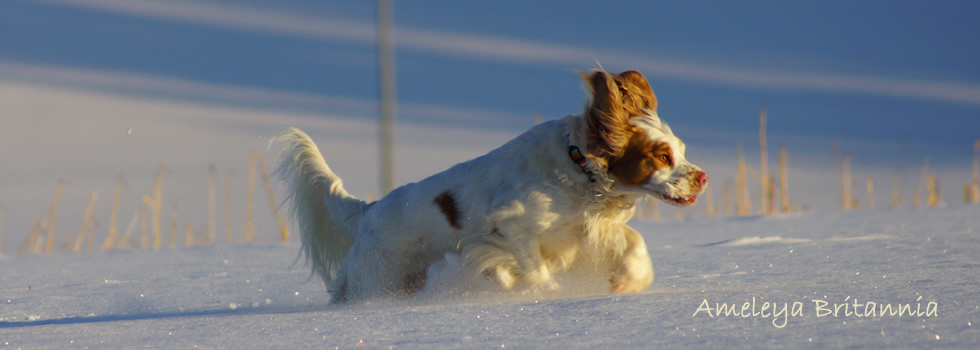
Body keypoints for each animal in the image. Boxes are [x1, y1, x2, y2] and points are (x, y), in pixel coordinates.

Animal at [274, 70, 704, 304]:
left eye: (681, 150)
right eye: (661, 156)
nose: (702, 178)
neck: (576, 167)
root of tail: (369, 210)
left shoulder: (585, 232)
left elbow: (634, 244)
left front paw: (627, 280)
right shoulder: (511, 224)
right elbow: (535, 274)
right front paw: (521, 288)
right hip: (376, 280)